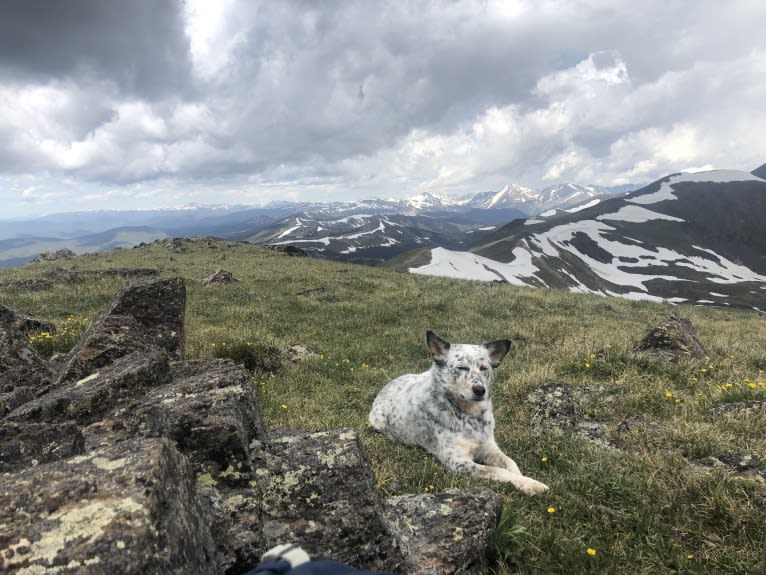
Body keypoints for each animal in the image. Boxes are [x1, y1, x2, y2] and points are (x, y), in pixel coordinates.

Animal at [368, 330, 548, 498]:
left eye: (484, 368)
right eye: (461, 368)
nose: (480, 390)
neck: (471, 417)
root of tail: (384, 388)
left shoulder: (489, 447)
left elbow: (511, 463)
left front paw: (526, 481)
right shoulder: (457, 461)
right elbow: (498, 471)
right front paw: (528, 484)